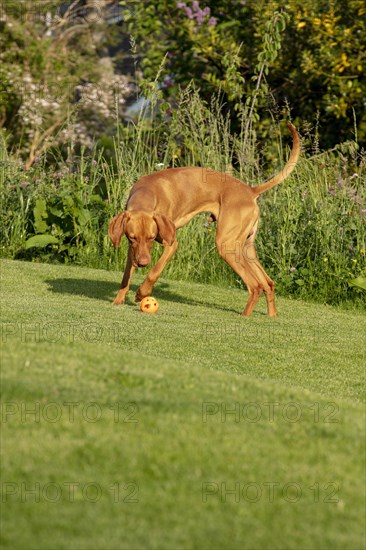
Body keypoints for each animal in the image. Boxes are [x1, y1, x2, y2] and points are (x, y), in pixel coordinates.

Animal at [108, 123, 300, 316]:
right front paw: (118, 299)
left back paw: (245, 316)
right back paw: (272, 315)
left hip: (226, 245)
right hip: (245, 246)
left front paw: (142, 293)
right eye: (132, 238)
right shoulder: (133, 249)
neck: (147, 192)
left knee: (255, 285)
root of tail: (250, 191)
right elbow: (126, 276)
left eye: (151, 237)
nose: (142, 263)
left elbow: (155, 270)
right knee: (268, 283)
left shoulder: (171, 243)